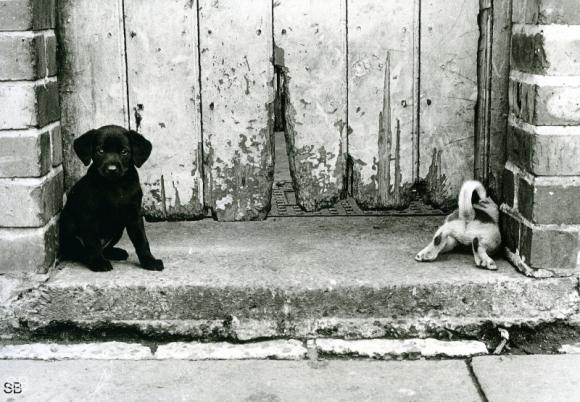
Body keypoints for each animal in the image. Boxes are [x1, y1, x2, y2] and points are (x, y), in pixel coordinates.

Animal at [60, 124, 163, 272]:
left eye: (124, 152)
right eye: (100, 151)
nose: (112, 169)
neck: (115, 185)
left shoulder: (134, 216)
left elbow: (142, 240)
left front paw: (149, 261)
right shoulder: (89, 217)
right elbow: (92, 242)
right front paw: (98, 262)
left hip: (118, 230)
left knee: (105, 248)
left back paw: (115, 252)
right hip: (70, 233)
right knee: (81, 250)